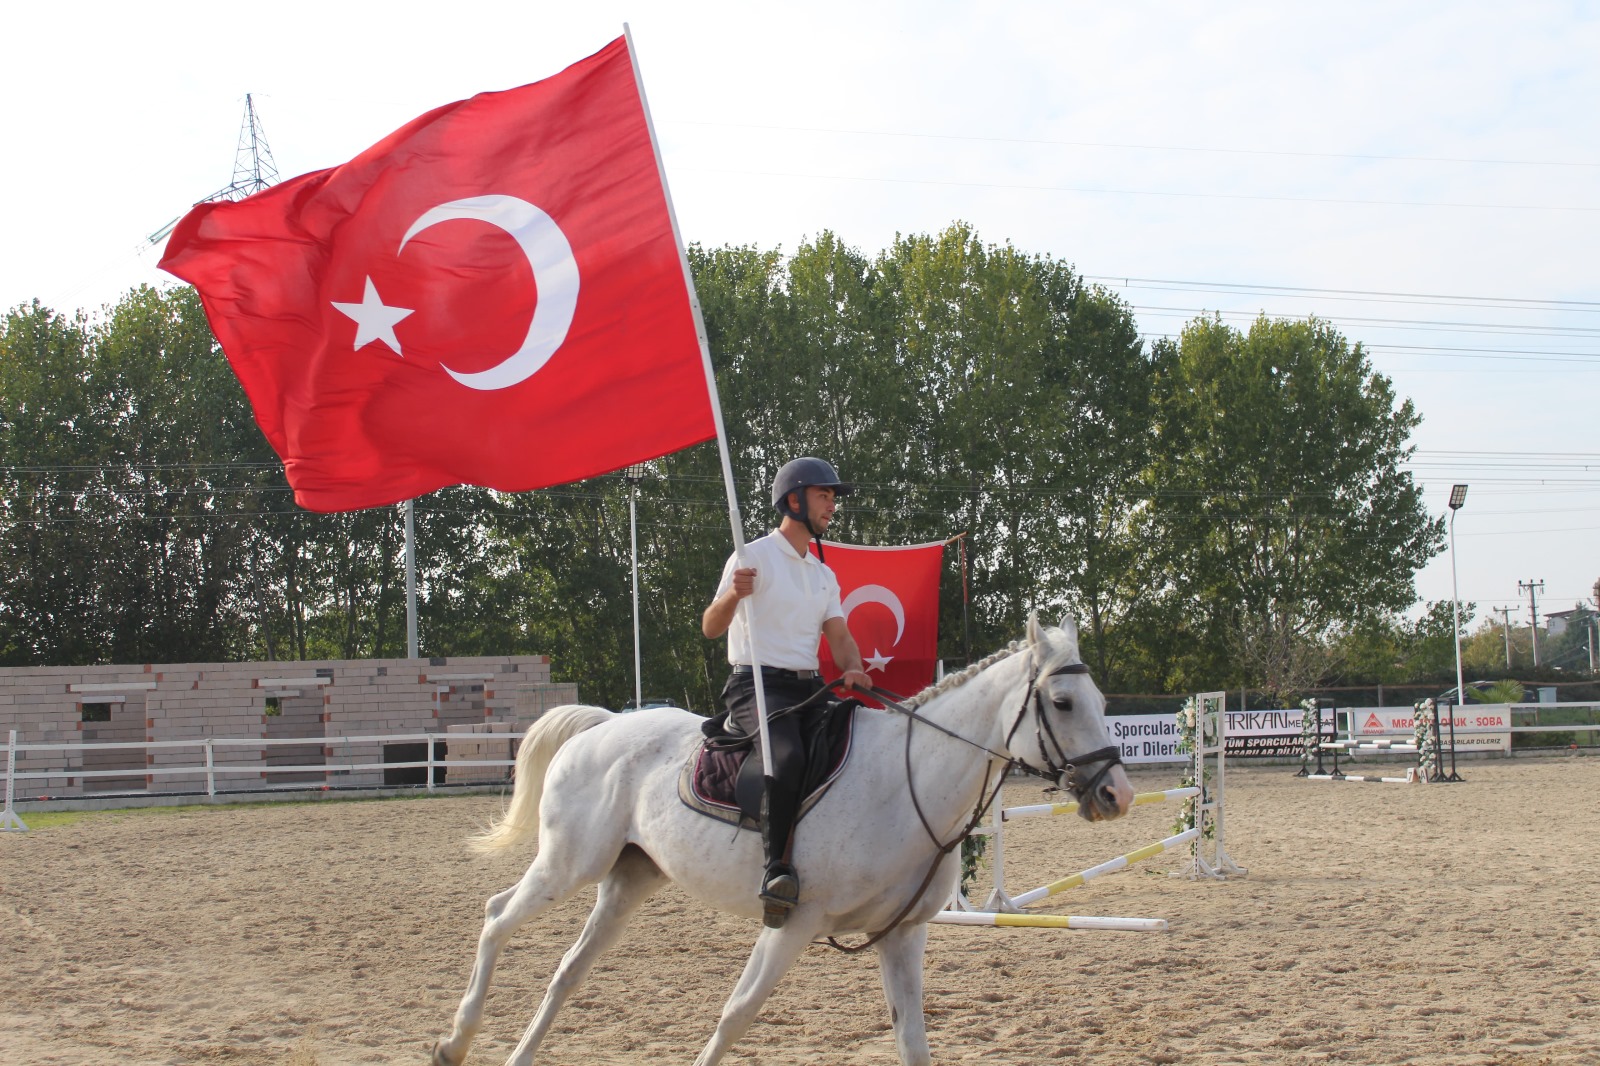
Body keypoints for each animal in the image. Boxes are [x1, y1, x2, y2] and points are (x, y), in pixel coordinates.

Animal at [438, 614, 1132, 1062]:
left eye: (1101, 700)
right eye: (1063, 703)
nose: (1117, 796)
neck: (903, 783)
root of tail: (603, 725)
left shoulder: (902, 936)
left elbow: (912, 1040)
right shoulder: (793, 923)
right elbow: (736, 1015)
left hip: (627, 881)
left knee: (567, 972)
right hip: (568, 865)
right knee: (496, 916)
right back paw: (455, 1040)